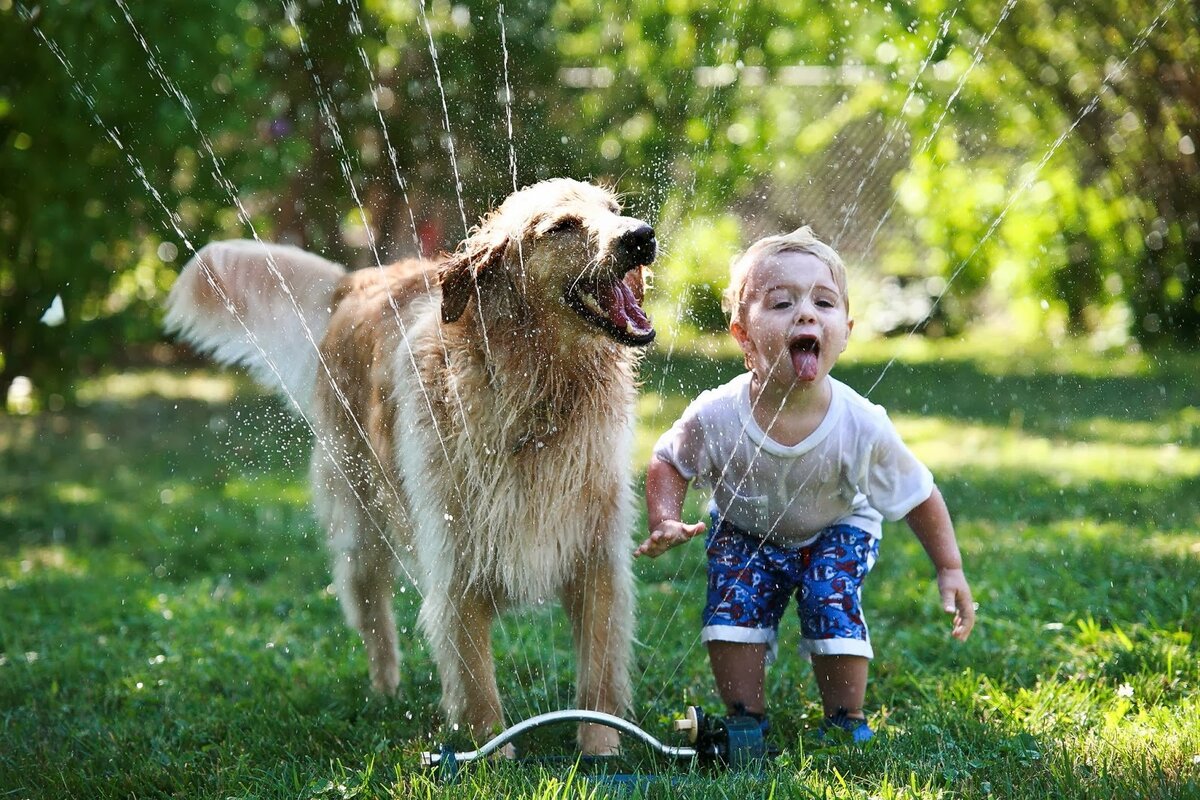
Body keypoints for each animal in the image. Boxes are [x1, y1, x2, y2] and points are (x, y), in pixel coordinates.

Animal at [163, 178, 657, 753]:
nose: (642, 235)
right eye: (562, 226)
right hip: (360, 519)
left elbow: (598, 671)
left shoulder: (597, 557)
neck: (538, 397)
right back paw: (386, 690)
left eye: (614, 210)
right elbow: (476, 682)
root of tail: (357, 280)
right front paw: (494, 753)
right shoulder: (456, 561)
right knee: (371, 612)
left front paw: (601, 747)